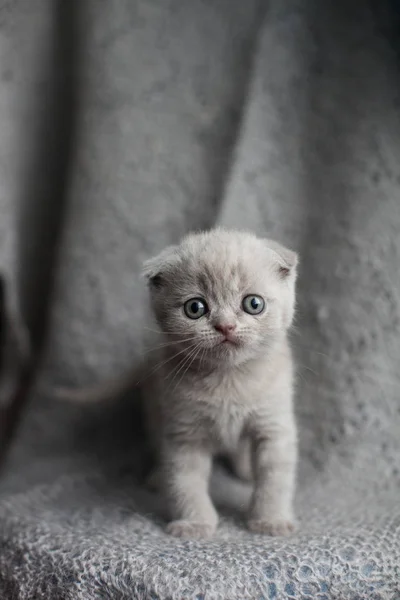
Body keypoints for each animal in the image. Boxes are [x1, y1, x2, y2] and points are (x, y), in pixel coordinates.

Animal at [53, 229, 298, 540]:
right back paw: (158, 477)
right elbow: (185, 482)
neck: (228, 380)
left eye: (253, 304)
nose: (225, 326)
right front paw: (195, 524)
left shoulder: (273, 426)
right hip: (154, 409)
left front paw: (270, 520)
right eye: (195, 308)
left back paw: (245, 470)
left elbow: (275, 479)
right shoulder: (184, 432)